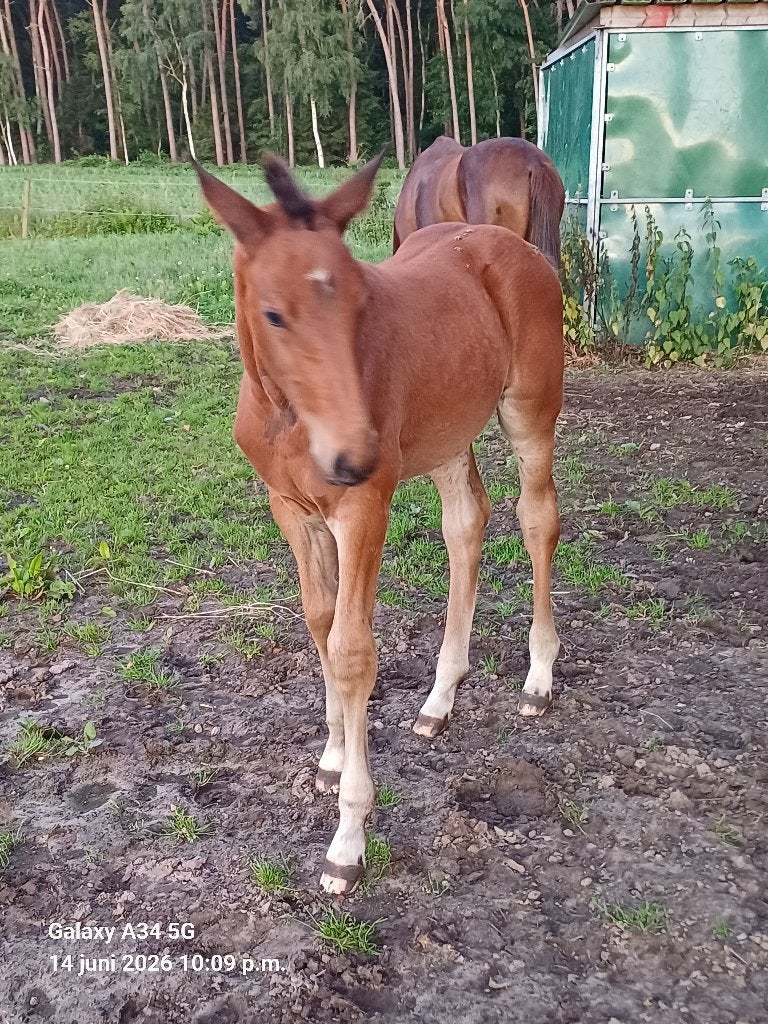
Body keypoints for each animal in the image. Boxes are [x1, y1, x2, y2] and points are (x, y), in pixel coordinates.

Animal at [194, 154, 565, 896]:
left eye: (363, 301)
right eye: (274, 314)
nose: (352, 454)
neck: (289, 419)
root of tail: (512, 246)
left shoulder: (362, 508)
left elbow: (351, 650)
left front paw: (348, 840)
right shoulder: (292, 510)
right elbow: (320, 619)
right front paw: (334, 753)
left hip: (530, 411)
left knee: (536, 517)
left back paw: (538, 677)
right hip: (448, 434)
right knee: (467, 524)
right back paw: (439, 699)